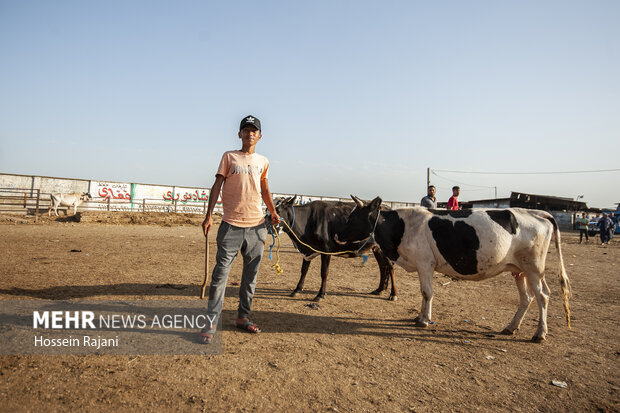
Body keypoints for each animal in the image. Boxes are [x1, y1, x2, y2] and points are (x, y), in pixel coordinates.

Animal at [334, 196, 572, 342]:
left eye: (353, 216)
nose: (337, 234)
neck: (403, 226)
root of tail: (538, 212)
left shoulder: (425, 263)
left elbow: (427, 292)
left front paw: (424, 320)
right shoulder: (422, 265)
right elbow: (424, 293)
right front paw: (420, 316)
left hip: (534, 268)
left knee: (542, 296)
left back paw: (539, 334)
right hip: (519, 270)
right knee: (527, 298)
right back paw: (511, 327)